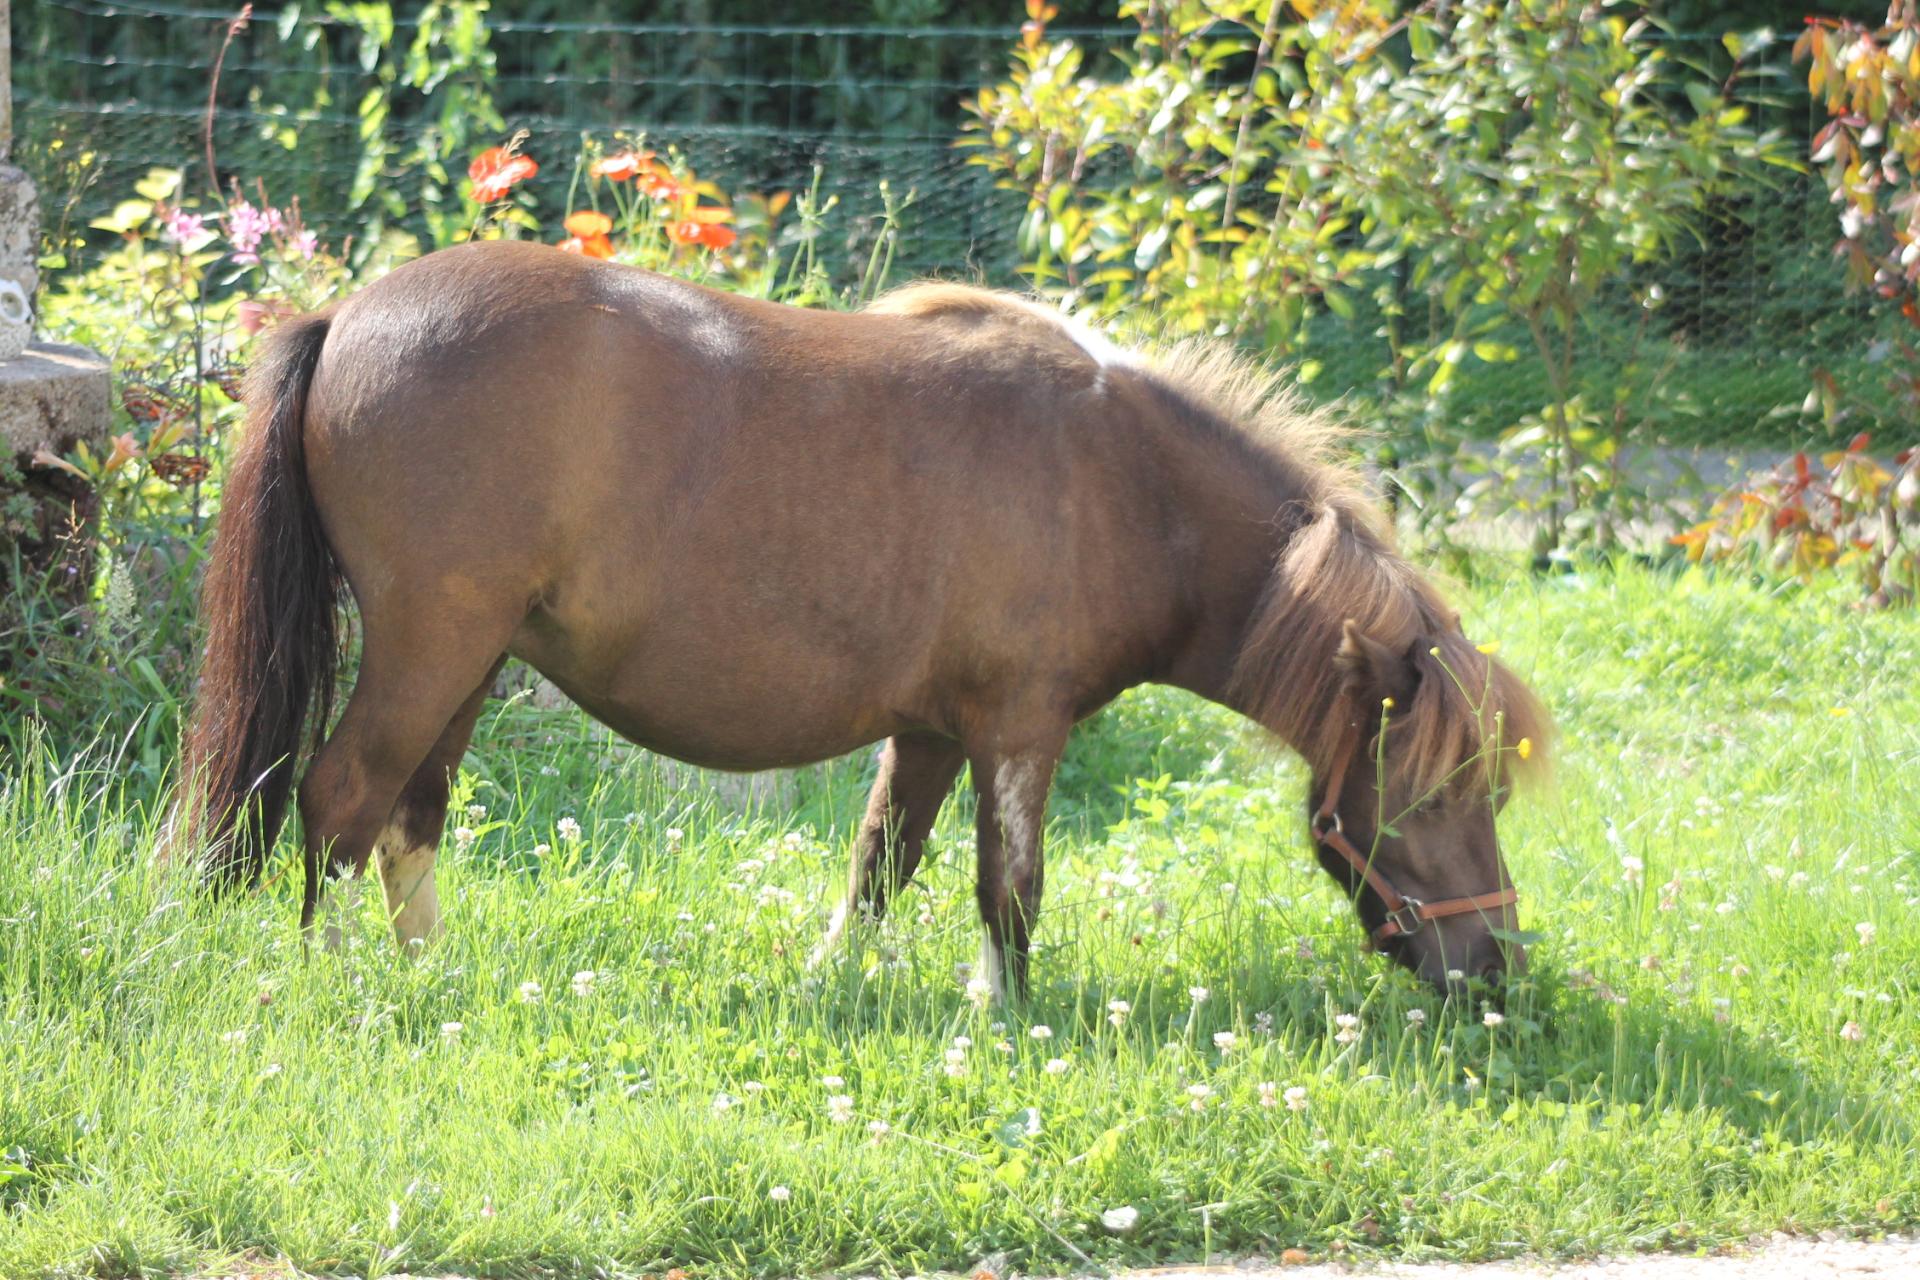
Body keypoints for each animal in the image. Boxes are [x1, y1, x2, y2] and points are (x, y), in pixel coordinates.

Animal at [176, 242, 1543, 997]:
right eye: (1435, 790)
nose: (1496, 969)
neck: (1119, 480)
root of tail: (345, 317)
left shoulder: (932, 730)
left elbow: (881, 859)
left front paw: (833, 987)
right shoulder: (1019, 729)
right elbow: (1009, 888)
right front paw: (1000, 1018)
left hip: (469, 657)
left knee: (408, 815)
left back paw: (432, 983)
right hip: (431, 646)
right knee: (342, 798)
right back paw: (342, 984)